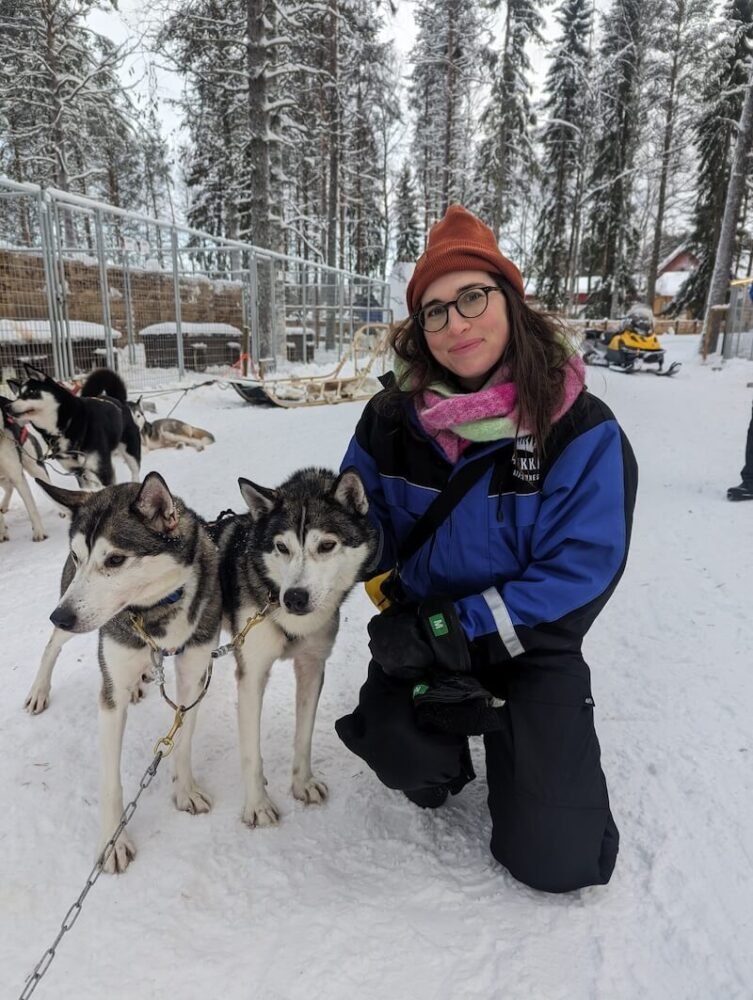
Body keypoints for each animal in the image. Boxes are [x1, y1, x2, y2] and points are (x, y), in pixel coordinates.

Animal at [8, 368, 141, 492]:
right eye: (17, 396)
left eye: (31, 392)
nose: (7, 406)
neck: (67, 425)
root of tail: (117, 400)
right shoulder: (78, 472)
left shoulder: (102, 470)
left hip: (131, 451)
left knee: (135, 472)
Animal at [33, 472, 220, 872]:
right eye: (78, 556)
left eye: (115, 559)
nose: (60, 616)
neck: (154, 613)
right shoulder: (110, 697)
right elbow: (110, 781)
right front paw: (113, 842)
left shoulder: (194, 677)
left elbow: (183, 743)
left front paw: (185, 791)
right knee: (52, 647)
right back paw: (38, 690)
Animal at [210, 468, 376, 828]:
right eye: (281, 547)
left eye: (326, 545)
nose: (295, 598)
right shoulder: (252, 674)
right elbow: (251, 752)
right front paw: (257, 805)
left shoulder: (312, 666)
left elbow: (304, 736)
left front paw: (303, 784)